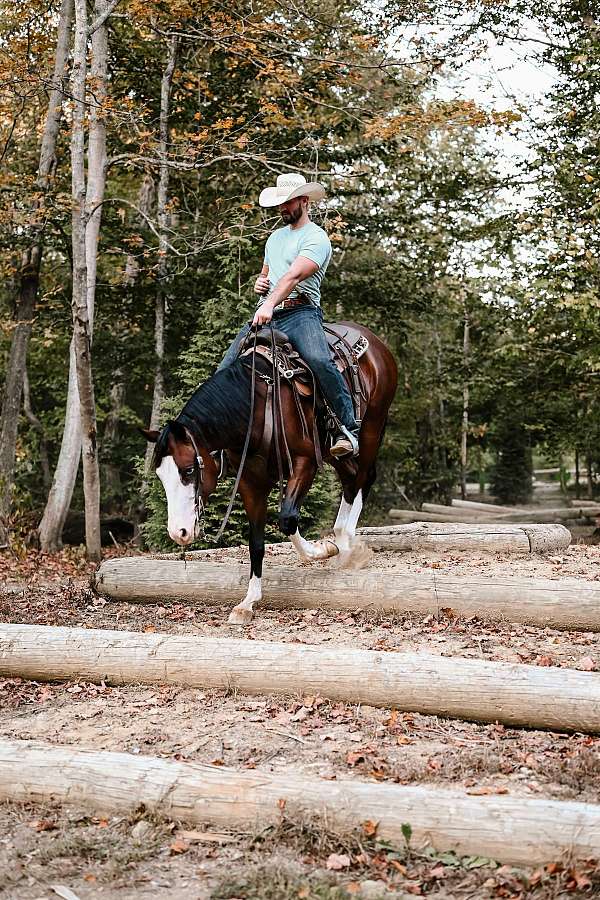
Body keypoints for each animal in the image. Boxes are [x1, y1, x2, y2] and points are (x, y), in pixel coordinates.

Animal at [143, 324, 398, 624]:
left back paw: (345, 543)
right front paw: (248, 602)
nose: (178, 532)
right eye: (161, 475)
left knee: (363, 477)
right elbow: (256, 542)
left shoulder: (305, 463)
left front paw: (323, 550)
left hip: (371, 427)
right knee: (350, 478)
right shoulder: (250, 481)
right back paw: (339, 535)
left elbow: (287, 519)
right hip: (332, 452)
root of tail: (376, 342)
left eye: (189, 469)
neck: (255, 408)